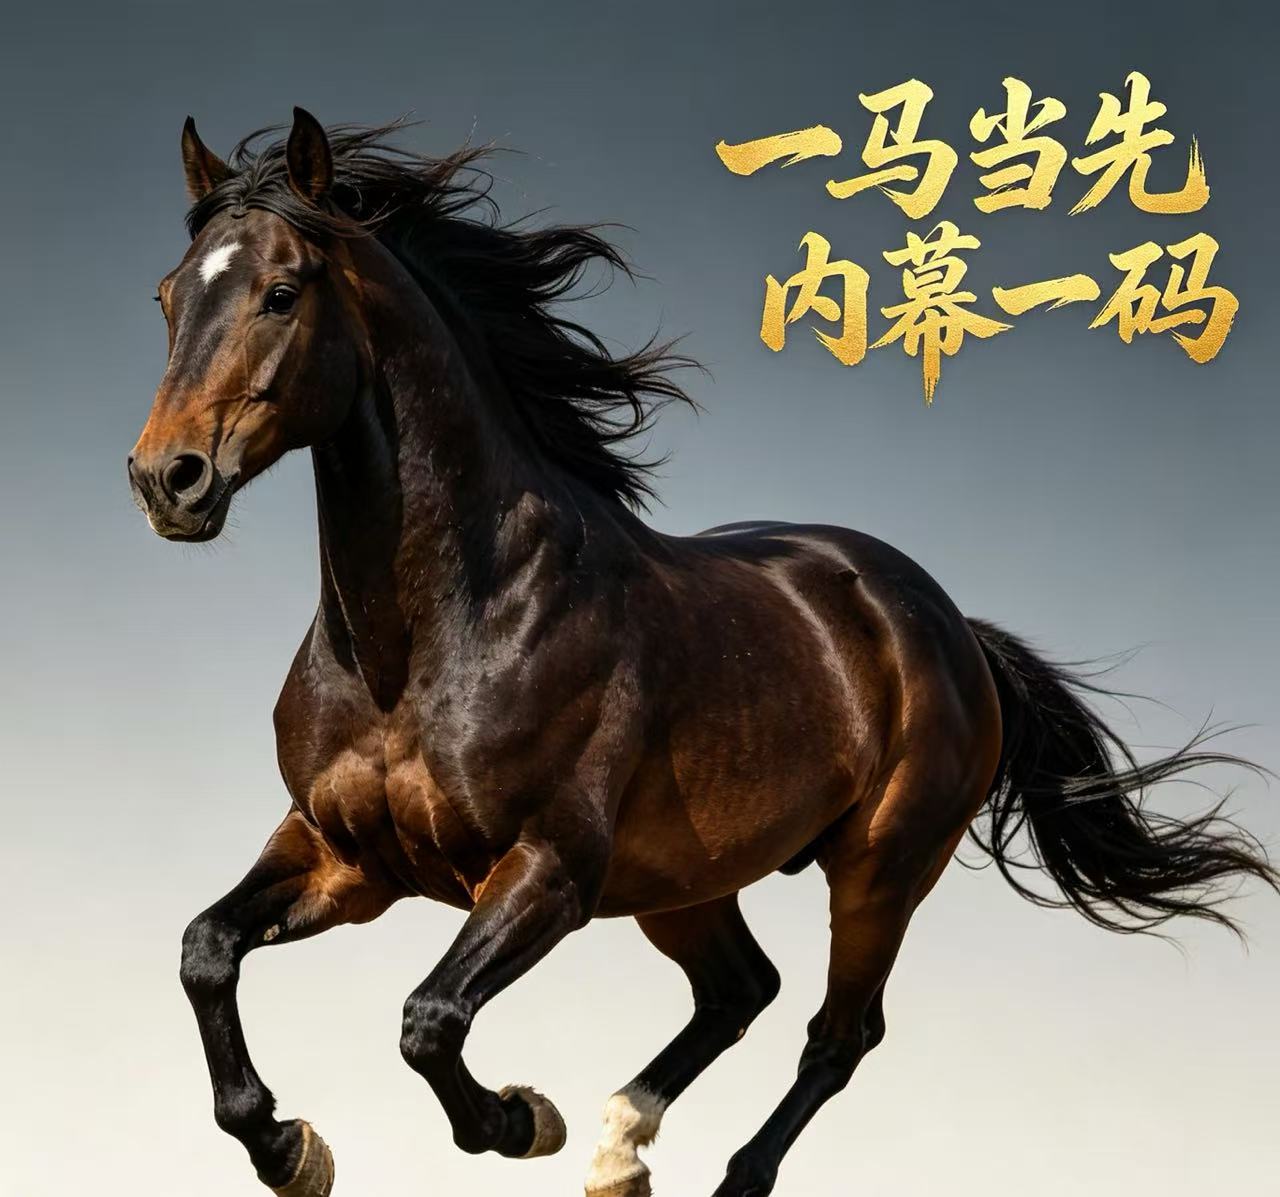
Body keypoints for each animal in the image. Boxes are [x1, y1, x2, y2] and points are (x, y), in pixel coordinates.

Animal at [128, 109, 1276, 1197]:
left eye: (282, 292)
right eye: (167, 297)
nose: (166, 479)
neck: (419, 650)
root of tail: (949, 627)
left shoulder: (547, 872)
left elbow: (429, 1020)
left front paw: (519, 1119)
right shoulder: (344, 855)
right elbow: (204, 951)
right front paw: (288, 1147)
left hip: (880, 871)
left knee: (835, 1035)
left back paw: (698, 1166)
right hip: (684, 882)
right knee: (740, 990)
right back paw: (617, 1151)